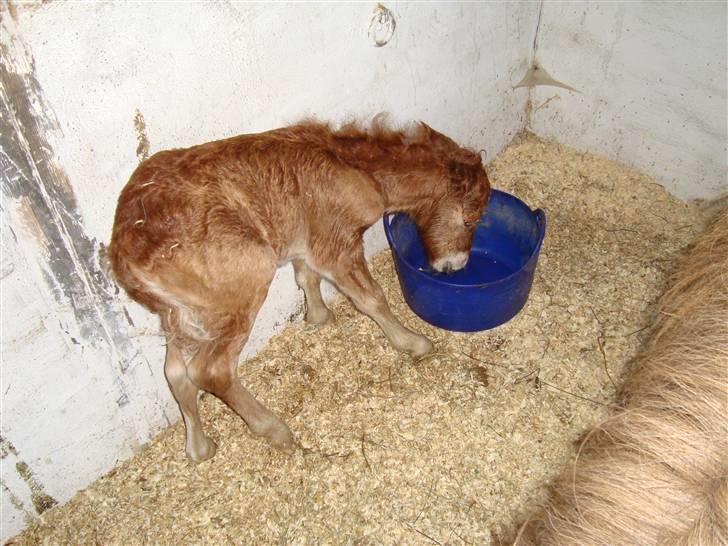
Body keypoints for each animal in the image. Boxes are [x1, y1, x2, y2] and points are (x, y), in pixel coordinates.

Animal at [109, 120, 490, 460]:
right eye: (470, 219)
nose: (455, 267)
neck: (355, 168)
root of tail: (128, 252)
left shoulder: (306, 242)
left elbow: (307, 277)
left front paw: (319, 317)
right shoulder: (336, 245)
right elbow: (371, 299)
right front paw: (414, 343)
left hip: (184, 314)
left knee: (176, 373)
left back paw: (200, 449)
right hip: (243, 288)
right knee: (211, 370)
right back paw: (275, 430)